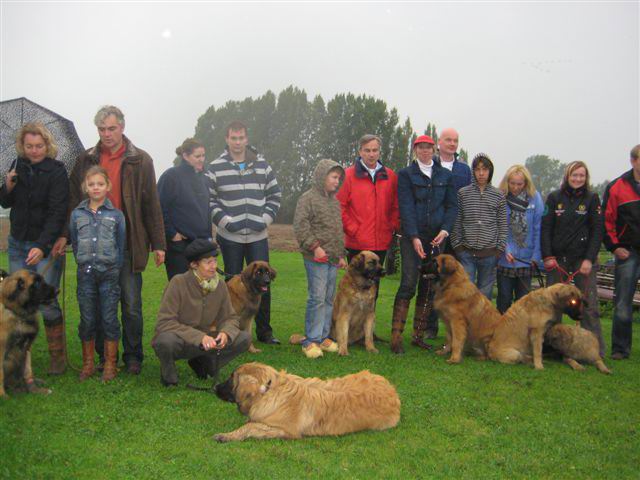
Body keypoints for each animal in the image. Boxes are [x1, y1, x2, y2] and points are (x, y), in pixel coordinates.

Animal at [1, 270, 57, 398]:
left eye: (42, 280)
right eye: (36, 283)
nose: (57, 290)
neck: (18, 314)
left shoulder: (25, 347)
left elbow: (25, 369)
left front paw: (29, 388)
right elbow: (1, 374)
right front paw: (3, 395)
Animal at [212, 360, 400, 442]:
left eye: (231, 378)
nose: (214, 388)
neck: (270, 390)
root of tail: (392, 390)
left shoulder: (286, 431)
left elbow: (250, 426)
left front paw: (227, 435)